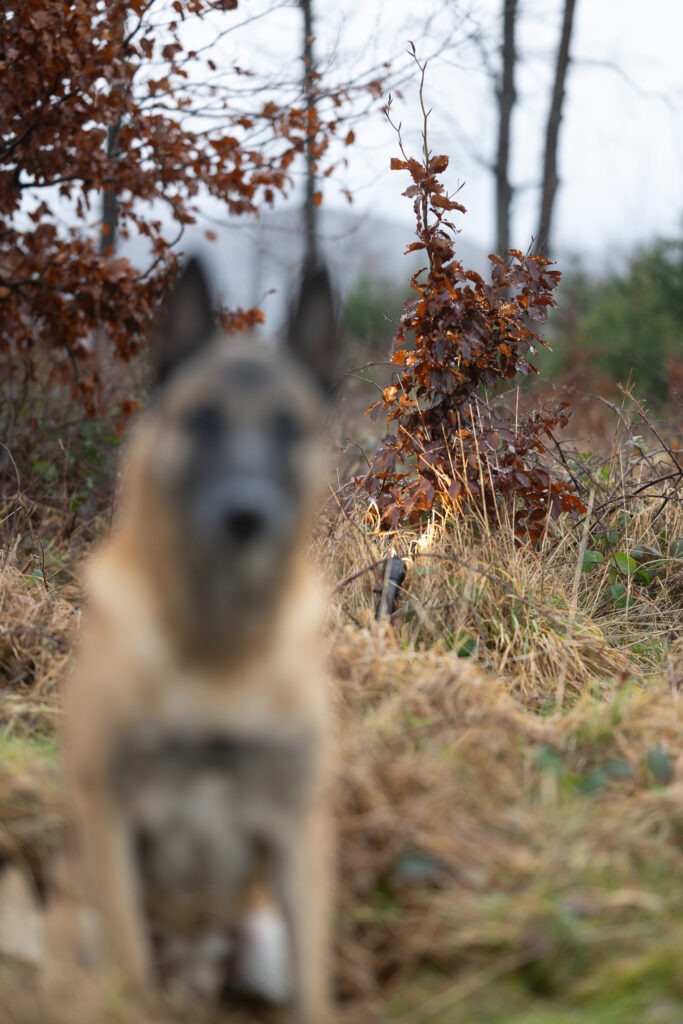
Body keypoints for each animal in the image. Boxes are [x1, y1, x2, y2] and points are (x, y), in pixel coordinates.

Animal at [63, 260, 339, 1019]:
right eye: (203, 419)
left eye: (287, 427)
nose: (246, 516)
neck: (219, 648)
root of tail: (194, 972)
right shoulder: (109, 818)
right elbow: (128, 972)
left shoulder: (300, 832)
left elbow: (315, 993)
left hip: (263, 940)